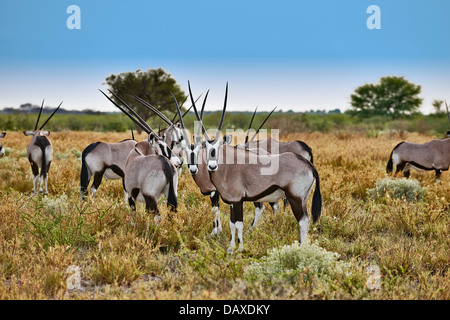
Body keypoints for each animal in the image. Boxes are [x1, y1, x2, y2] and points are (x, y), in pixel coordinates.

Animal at [188, 82, 322, 252]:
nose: (212, 166)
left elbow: (238, 224)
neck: (226, 166)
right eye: (205, 148)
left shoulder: (237, 200)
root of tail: (308, 165)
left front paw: (239, 249)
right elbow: (232, 224)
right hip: (303, 199)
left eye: (219, 147)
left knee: (303, 221)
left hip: (295, 198)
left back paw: (301, 249)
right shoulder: (233, 202)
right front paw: (231, 248)